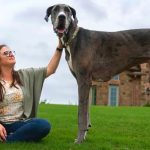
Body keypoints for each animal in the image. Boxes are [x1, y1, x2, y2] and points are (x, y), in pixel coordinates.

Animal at [44, 3, 150, 142]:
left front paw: (79, 139)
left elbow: (81, 113)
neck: (72, 37)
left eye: (67, 10)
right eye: (55, 10)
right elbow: (87, 110)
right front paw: (84, 135)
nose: (62, 17)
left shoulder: (83, 79)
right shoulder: (87, 82)